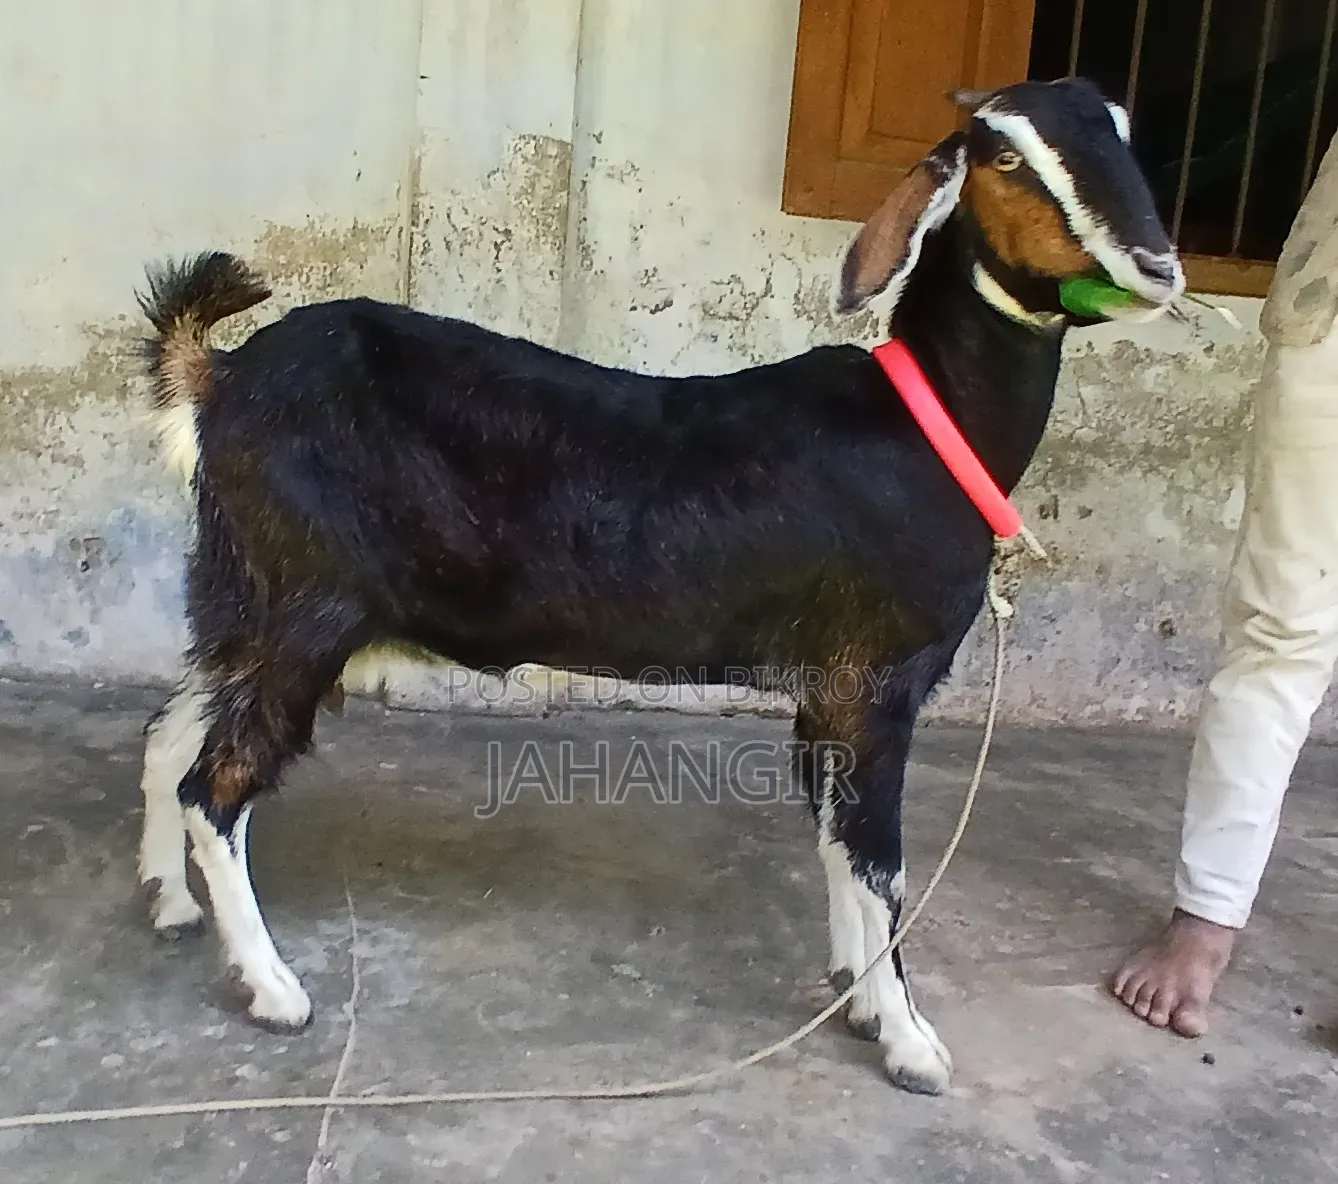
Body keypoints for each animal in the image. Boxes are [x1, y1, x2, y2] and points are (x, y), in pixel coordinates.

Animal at [133, 78, 1181, 1094]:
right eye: (1003, 157)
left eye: (1126, 127)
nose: (1159, 267)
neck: (933, 422)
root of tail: (217, 376)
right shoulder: (877, 678)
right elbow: (881, 863)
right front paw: (911, 1043)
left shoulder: (827, 694)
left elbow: (839, 841)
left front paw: (855, 994)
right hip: (304, 609)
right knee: (211, 788)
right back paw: (274, 990)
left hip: (246, 604)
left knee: (167, 735)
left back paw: (169, 904)